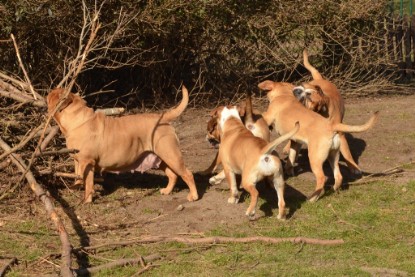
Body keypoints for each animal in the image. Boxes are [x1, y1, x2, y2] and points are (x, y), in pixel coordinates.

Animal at [47, 85, 200, 202]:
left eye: (52, 94)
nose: (47, 92)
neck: (76, 118)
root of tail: (163, 118)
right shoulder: (80, 161)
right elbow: (80, 177)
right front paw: (80, 190)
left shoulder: (87, 161)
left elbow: (86, 181)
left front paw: (86, 199)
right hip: (162, 157)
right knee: (172, 175)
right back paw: (167, 191)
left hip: (171, 155)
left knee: (187, 174)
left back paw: (193, 196)